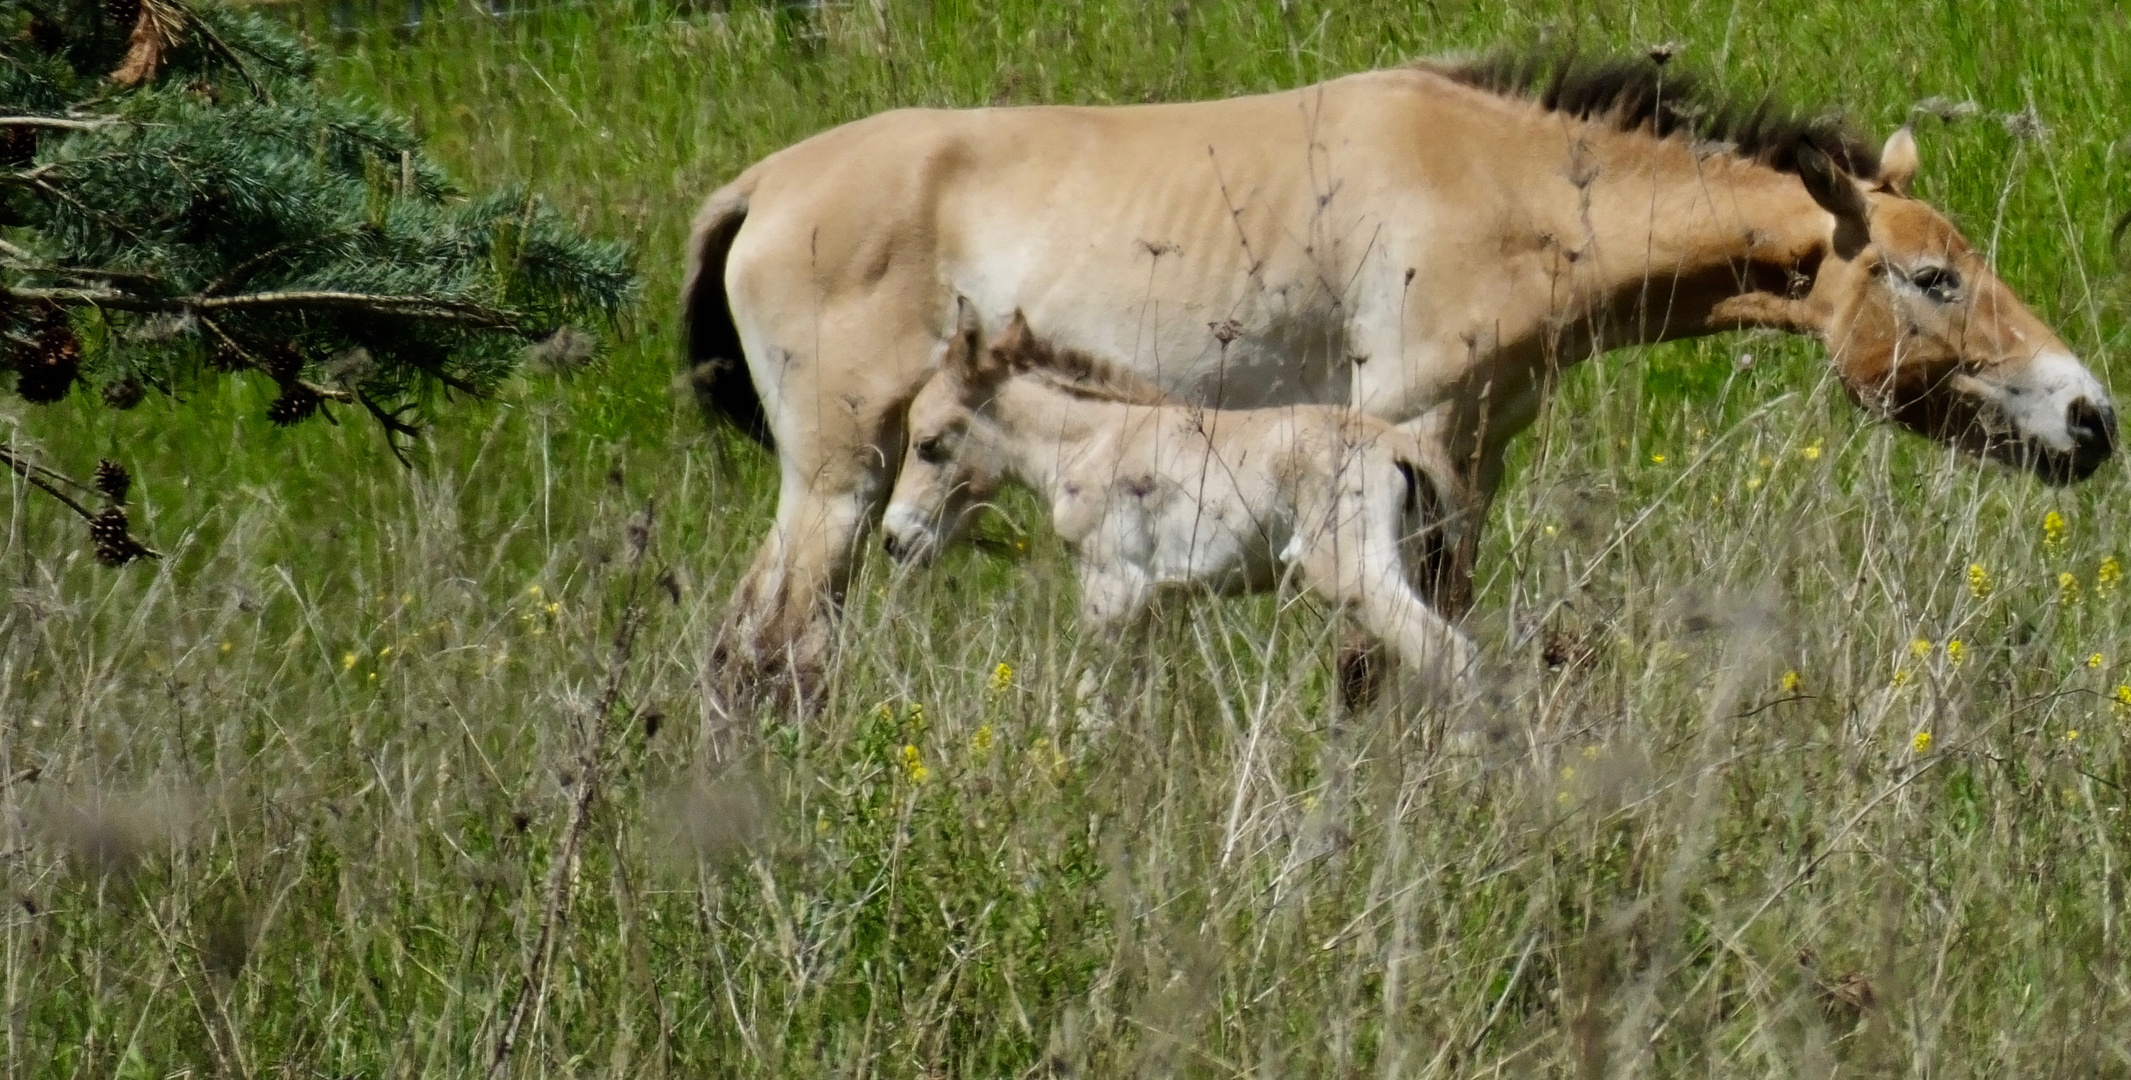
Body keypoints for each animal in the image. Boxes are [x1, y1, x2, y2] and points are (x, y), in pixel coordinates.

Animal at [882, 311, 1483, 702]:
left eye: (928, 444)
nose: (894, 539)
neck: (1093, 440)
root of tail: (1402, 447)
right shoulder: (1156, 602)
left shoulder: (1112, 589)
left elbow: (1094, 695)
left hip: (1356, 574)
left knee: (1452, 657)